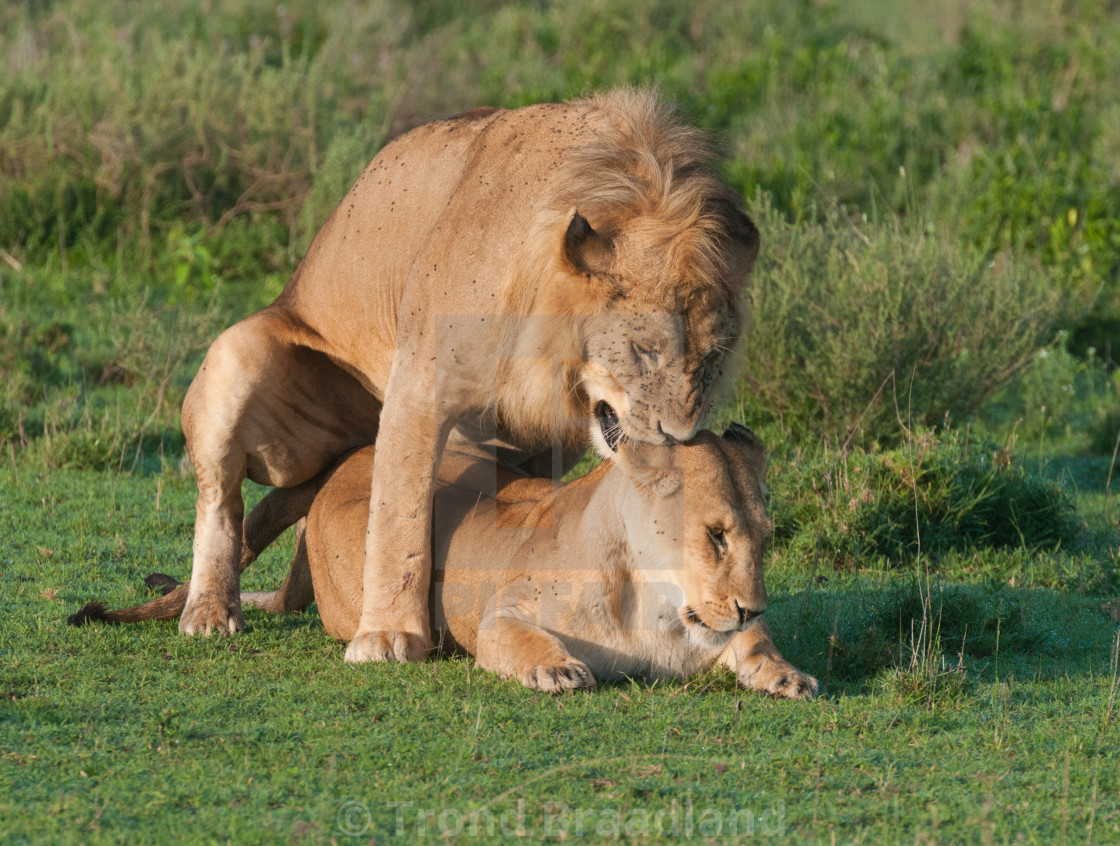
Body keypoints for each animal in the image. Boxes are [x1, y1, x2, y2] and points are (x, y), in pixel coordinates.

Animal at [74, 423, 819, 703]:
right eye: (715, 535)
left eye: (764, 536)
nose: (751, 601)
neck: (659, 602)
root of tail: (345, 462)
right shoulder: (502, 611)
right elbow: (518, 639)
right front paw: (557, 669)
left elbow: (755, 645)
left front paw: (788, 674)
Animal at [176, 87, 761, 667]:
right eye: (645, 351)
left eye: (712, 359)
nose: (679, 437)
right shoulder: (419, 383)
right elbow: (400, 518)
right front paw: (387, 634)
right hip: (243, 353)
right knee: (222, 502)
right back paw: (209, 611)